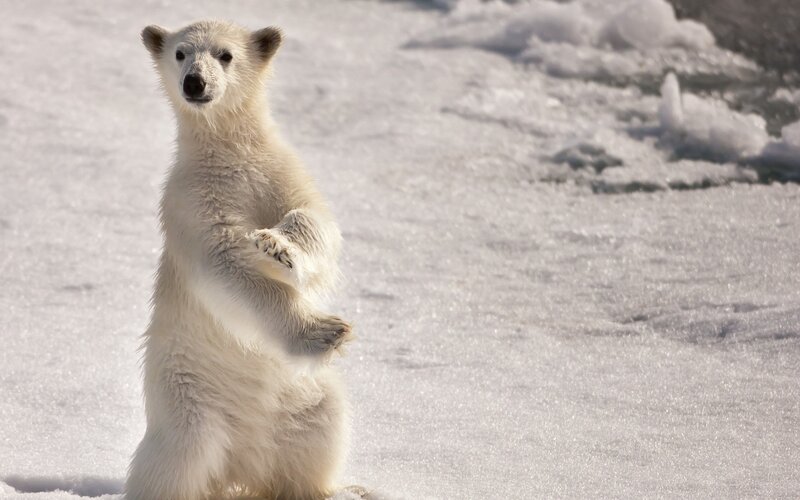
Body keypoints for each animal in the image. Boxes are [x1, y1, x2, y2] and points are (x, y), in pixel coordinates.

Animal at [125, 20, 360, 500]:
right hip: (187, 398)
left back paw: (336, 489)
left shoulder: (278, 171)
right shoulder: (192, 201)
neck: (229, 154)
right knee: (176, 461)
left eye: (226, 54)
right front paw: (324, 331)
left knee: (321, 428)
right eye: (180, 53)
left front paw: (278, 247)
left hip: (301, 398)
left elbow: (315, 220)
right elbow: (226, 265)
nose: (195, 83)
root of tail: (240, 466)